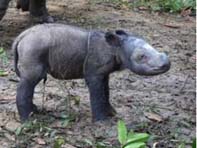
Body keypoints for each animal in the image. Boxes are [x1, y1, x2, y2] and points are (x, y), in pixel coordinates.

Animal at [12, 23, 170, 121]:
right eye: (141, 57)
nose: (166, 64)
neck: (116, 48)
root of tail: (21, 36)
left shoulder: (104, 73)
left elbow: (106, 91)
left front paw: (112, 113)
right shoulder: (94, 73)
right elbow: (97, 93)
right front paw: (102, 121)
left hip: (32, 47)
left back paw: (35, 111)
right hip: (34, 47)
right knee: (31, 79)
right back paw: (27, 120)